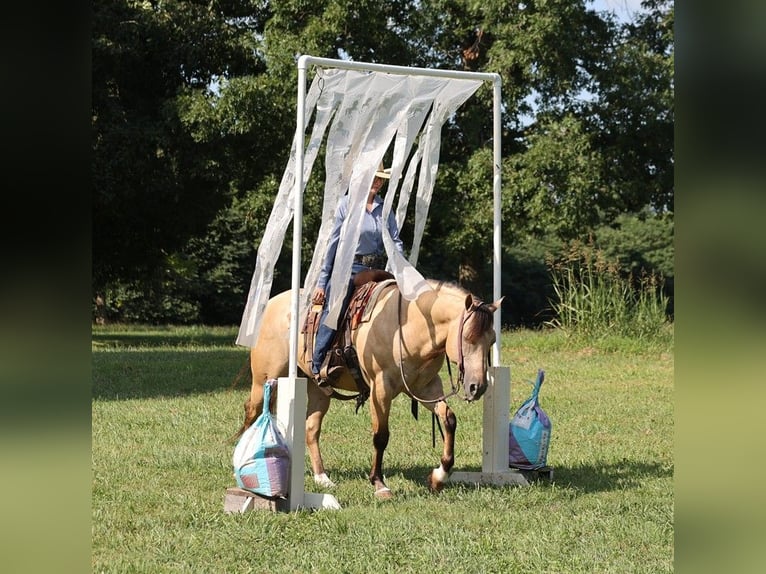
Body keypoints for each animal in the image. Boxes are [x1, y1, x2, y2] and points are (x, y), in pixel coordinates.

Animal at [234, 280, 504, 500]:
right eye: (468, 338)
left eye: (492, 340)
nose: (477, 387)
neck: (407, 326)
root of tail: (270, 304)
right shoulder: (380, 389)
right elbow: (381, 436)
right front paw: (379, 484)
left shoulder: (426, 388)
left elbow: (448, 419)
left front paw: (439, 477)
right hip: (265, 380)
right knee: (252, 412)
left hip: (318, 389)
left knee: (311, 429)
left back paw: (323, 478)